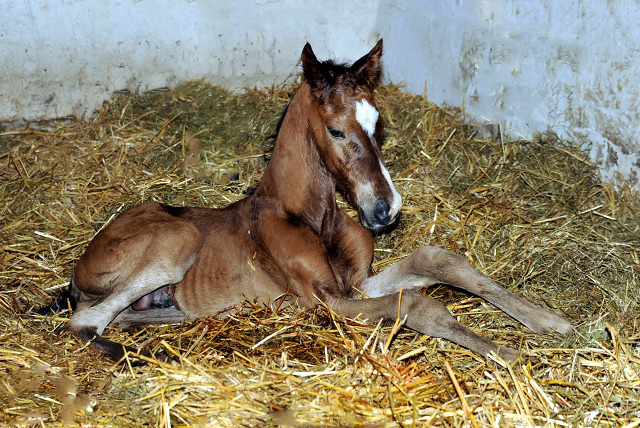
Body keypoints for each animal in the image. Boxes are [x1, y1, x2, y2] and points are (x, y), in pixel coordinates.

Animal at [51, 40, 568, 362]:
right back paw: (150, 358)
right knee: (84, 322)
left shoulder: (356, 284)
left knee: (122, 317)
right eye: (336, 130)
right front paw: (508, 353)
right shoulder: (326, 301)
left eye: (378, 123)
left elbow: (438, 260)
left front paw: (549, 321)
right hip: (178, 240)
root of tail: (79, 266)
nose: (385, 209)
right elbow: (418, 305)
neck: (309, 216)